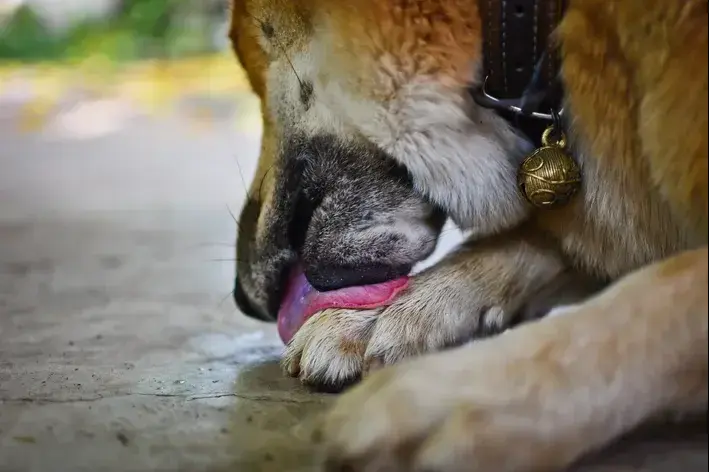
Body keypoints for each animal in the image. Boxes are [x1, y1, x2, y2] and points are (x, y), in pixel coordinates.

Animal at [230, 0, 704, 470]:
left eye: (242, 57)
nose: (240, 299)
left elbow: (660, 296)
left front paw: (458, 391)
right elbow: (523, 246)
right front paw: (380, 315)